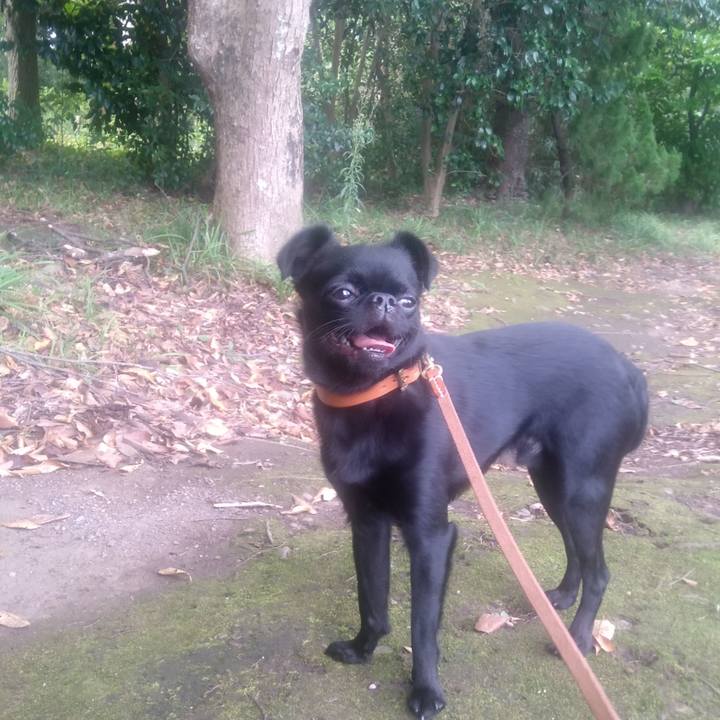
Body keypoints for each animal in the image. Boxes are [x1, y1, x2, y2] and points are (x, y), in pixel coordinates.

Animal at [277, 226, 648, 719]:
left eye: (410, 300)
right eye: (342, 293)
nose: (385, 302)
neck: (373, 396)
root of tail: (629, 368)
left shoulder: (431, 535)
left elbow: (422, 625)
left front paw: (425, 691)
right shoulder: (367, 523)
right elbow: (371, 598)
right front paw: (362, 649)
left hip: (581, 489)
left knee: (600, 571)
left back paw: (578, 638)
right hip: (553, 486)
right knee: (575, 549)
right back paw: (560, 599)